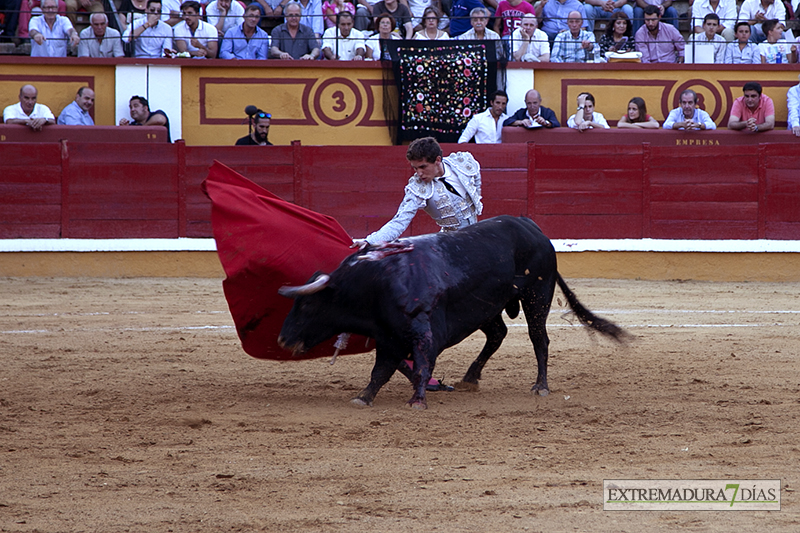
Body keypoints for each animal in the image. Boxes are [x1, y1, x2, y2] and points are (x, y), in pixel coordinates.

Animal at [278, 215, 628, 408]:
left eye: (307, 303)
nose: (282, 339)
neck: (375, 282)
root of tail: (535, 230)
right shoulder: (388, 336)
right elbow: (381, 370)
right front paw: (363, 397)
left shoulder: (422, 331)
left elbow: (420, 364)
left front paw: (417, 400)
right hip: (488, 307)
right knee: (498, 334)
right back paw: (470, 378)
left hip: (536, 296)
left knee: (538, 338)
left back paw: (540, 386)